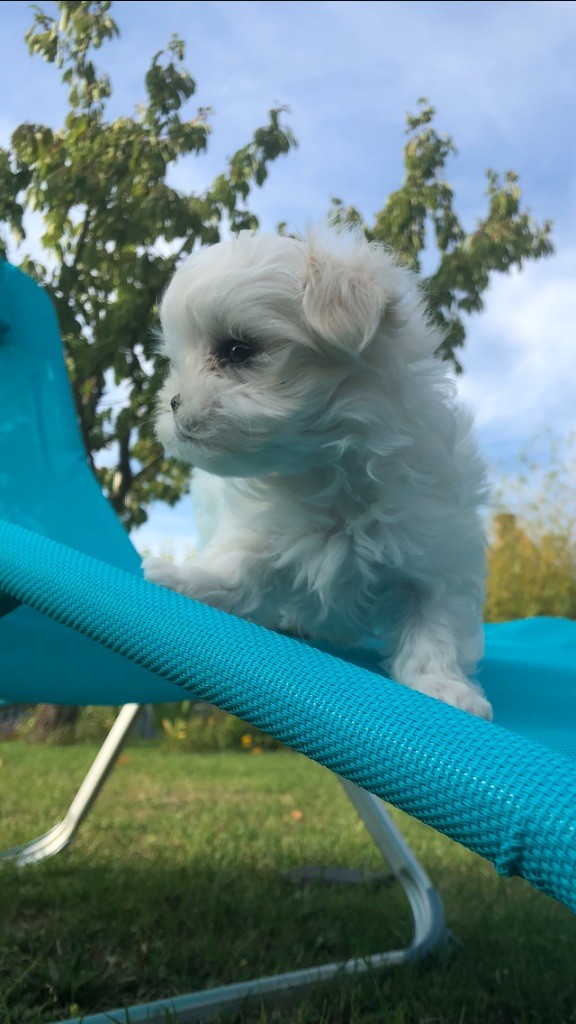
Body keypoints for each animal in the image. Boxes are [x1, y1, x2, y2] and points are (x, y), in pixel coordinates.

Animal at [142, 230, 487, 720]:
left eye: (237, 350)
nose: (172, 402)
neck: (326, 470)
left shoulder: (437, 547)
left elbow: (435, 624)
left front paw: (445, 687)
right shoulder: (261, 528)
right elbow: (235, 569)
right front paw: (186, 579)